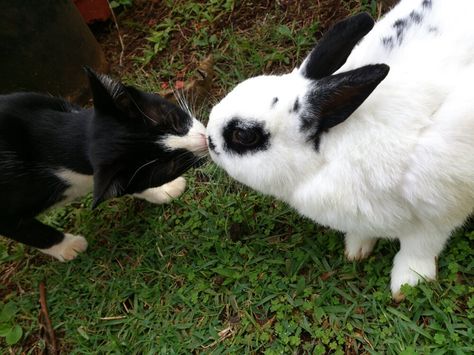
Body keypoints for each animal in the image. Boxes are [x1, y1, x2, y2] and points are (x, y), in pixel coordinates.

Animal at [0, 68, 207, 262]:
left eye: (173, 120)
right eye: (172, 165)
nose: (205, 140)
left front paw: (164, 190)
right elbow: (31, 232)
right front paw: (69, 247)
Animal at [207, 0, 474, 304]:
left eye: (244, 136)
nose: (208, 140)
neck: (337, 148)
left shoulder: (438, 210)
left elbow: (419, 248)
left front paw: (408, 284)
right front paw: (356, 250)